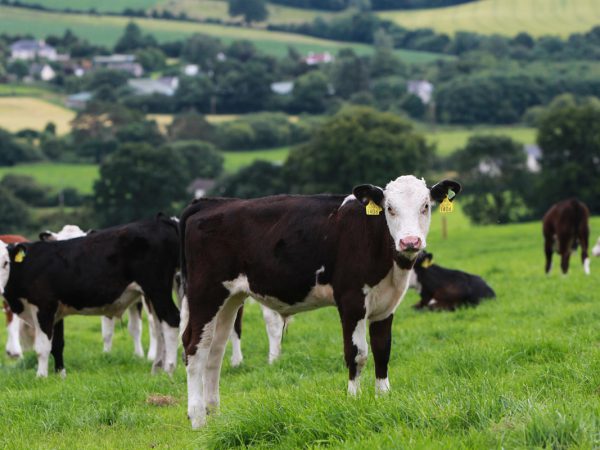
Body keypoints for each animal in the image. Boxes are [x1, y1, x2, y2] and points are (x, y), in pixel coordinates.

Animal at [0, 216, 180, 378]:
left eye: (5, 262)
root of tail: (161, 221)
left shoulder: (44, 307)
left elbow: (42, 347)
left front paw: (41, 377)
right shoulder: (56, 312)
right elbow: (57, 344)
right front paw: (60, 375)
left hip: (157, 289)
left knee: (171, 320)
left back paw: (169, 369)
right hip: (152, 295)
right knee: (160, 327)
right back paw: (156, 369)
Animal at [178, 174, 460, 428]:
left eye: (425, 206)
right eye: (389, 208)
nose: (410, 241)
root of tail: (211, 203)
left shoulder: (386, 306)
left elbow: (383, 351)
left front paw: (384, 398)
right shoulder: (351, 302)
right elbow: (357, 354)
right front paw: (354, 400)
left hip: (230, 298)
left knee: (214, 349)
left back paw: (214, 414)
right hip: (205, 294)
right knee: (194, 348)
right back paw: (198, 418)